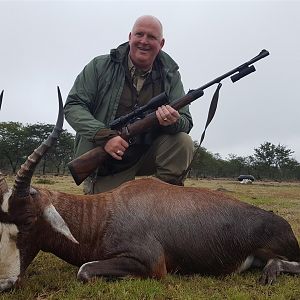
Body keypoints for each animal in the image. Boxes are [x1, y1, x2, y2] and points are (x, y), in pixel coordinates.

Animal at [0, 90, 300, 292]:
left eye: (29, 220)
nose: (5, 283)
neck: (104, 214)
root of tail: (282, 223)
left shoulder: (151, 265)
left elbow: (84, 270)